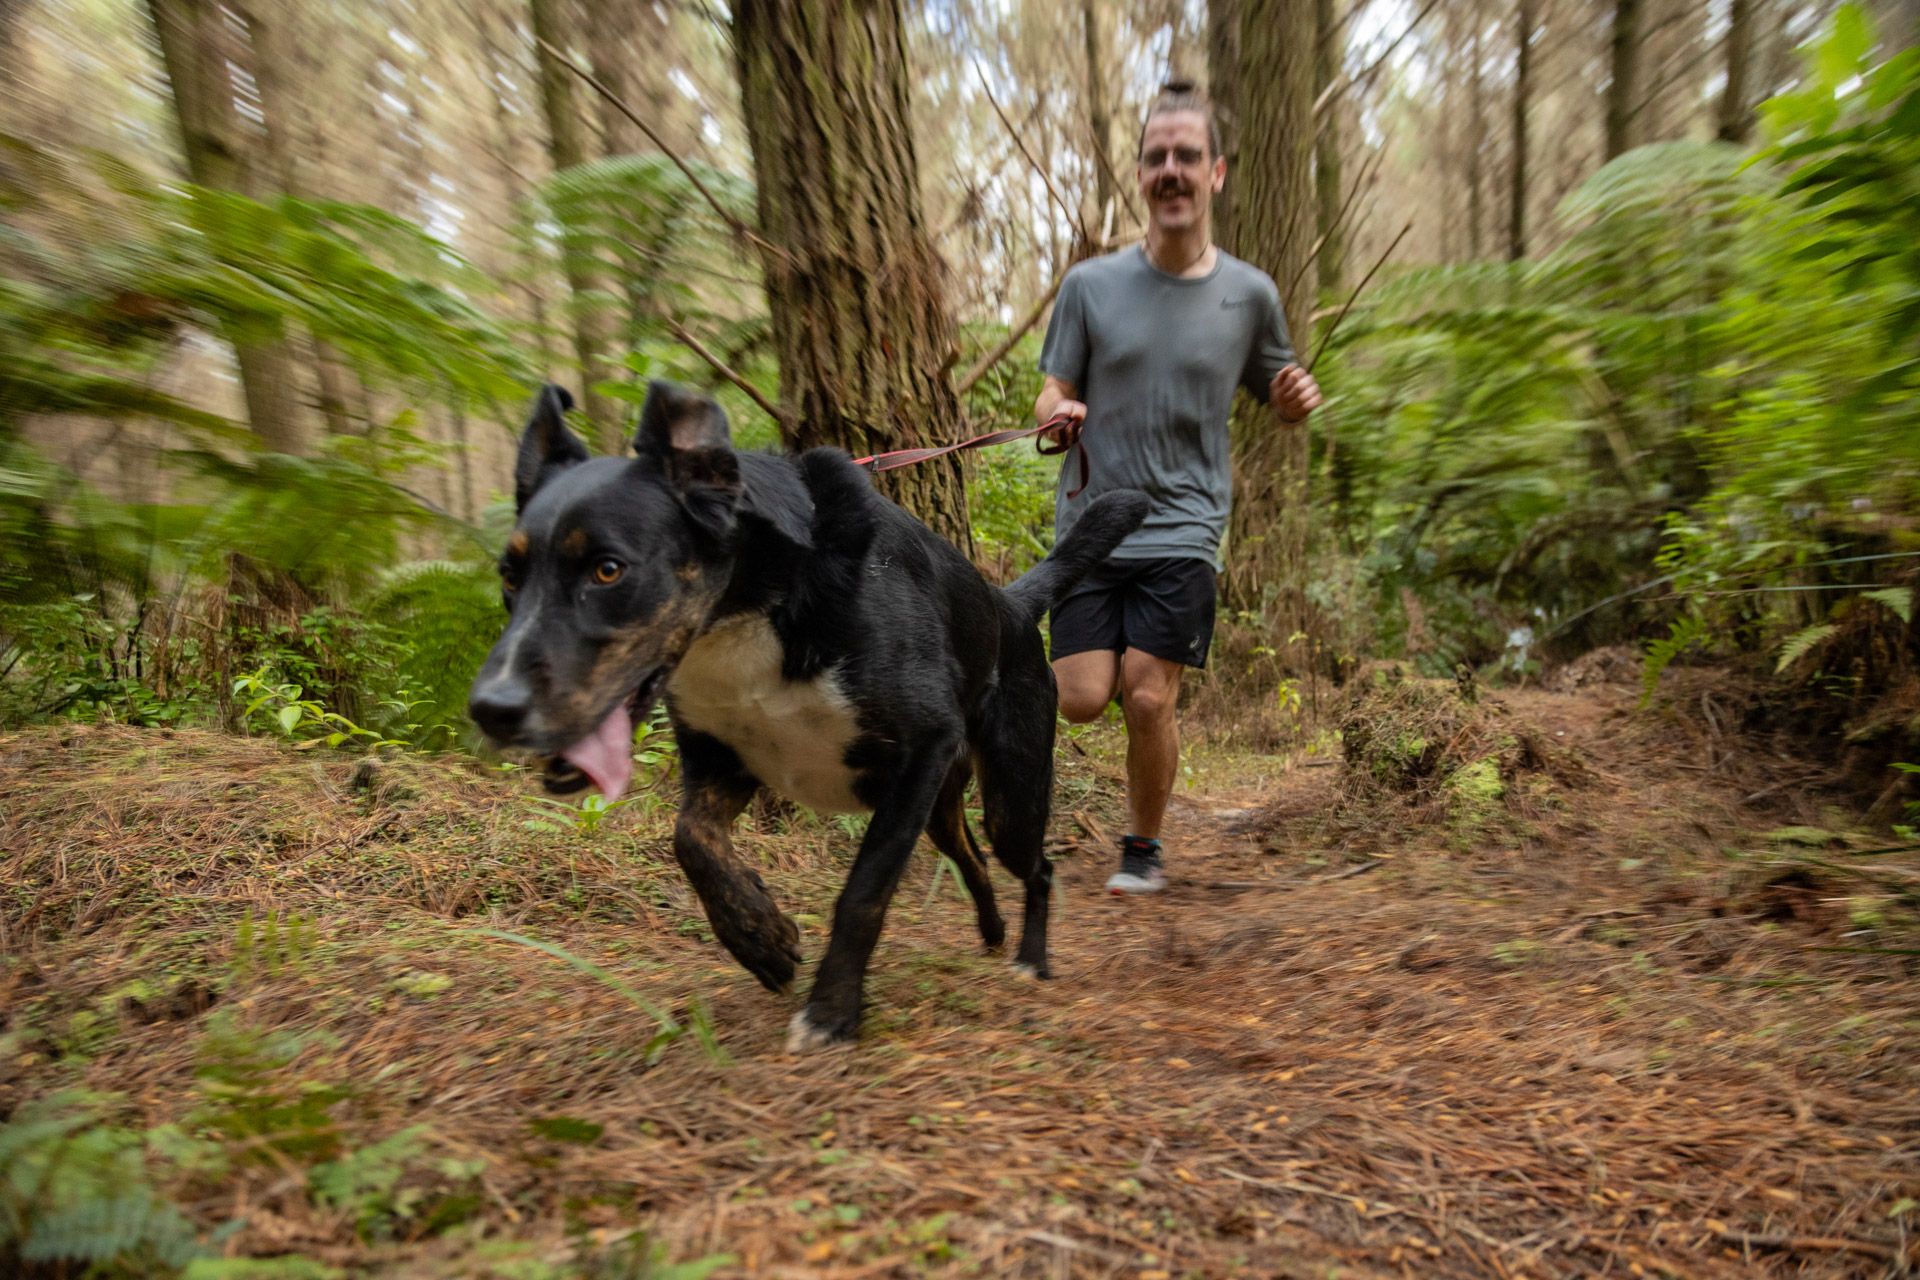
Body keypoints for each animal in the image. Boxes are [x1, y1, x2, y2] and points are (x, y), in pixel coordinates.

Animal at [470, 379, 1144, 1051]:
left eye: (608, 569)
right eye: (509, 577)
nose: (490, 708)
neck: (757, 606)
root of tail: (1011, 604)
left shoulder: (919, 750)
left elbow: (863, 892)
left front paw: (832, 1010)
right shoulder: (724, 761)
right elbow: (692, 840)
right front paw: (759, 938)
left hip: (1008, 796)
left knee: (1037, 867)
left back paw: (1032, 957)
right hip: (937, 811)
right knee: (971, 858)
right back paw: (992, 930)